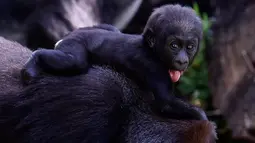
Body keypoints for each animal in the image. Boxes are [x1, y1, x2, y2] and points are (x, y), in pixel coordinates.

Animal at [21, 4, 205, 119]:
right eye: (174, 46)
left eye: (189, 47)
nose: (182, 60)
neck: (151, 48)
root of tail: (68, 36)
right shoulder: (153, 67)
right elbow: (166, 104)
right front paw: (202, 117)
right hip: (74, 43)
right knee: (74, 62)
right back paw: (36, 59)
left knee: (111, 29)